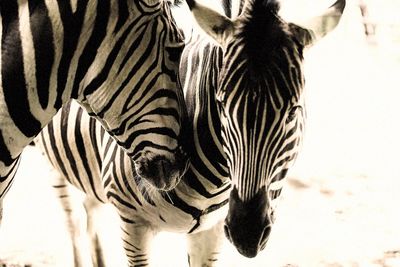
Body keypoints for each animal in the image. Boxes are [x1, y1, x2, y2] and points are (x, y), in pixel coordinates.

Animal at [36, 0, 344, 266]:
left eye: (293, 111)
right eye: (222, 105)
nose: (246, 234)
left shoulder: (212, 230)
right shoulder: (133, 223)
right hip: (55, 167)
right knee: (74, 223)